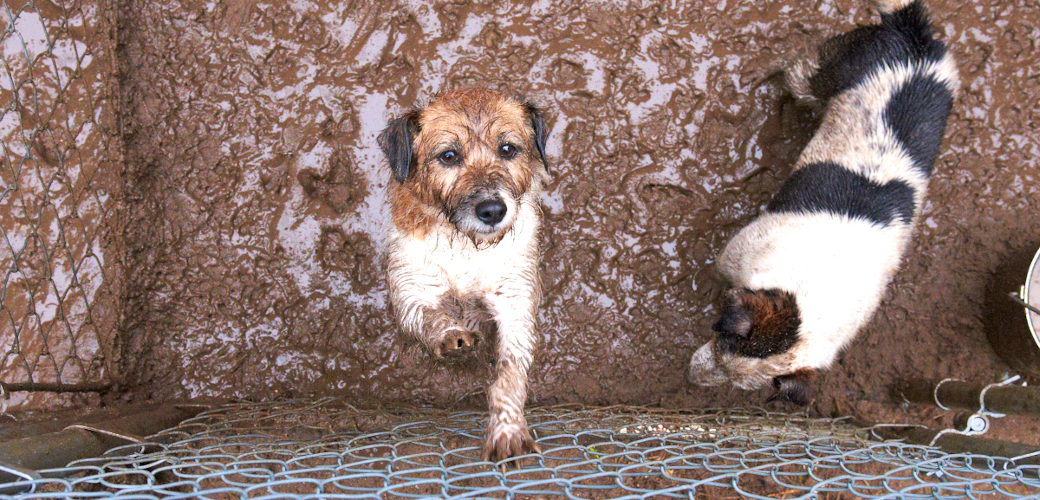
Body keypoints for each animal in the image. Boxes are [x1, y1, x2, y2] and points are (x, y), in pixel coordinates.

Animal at [378, 88, 550, 463]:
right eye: (449, 156)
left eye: (507, 149)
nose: (492, 210)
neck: (467, 245)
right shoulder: (410, 290)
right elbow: (429, 315)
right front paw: (452, 336)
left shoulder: (514, 301)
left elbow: (509, 371)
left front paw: (508, 431)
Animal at [687, 0, 959, 405]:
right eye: (721, 341)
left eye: (739, 383)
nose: (689, 379)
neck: (815, 292)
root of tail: (915, 40)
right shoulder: (737, 249)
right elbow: (719, 273)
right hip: (824, 72)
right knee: (794, 70)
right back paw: (766, 84)